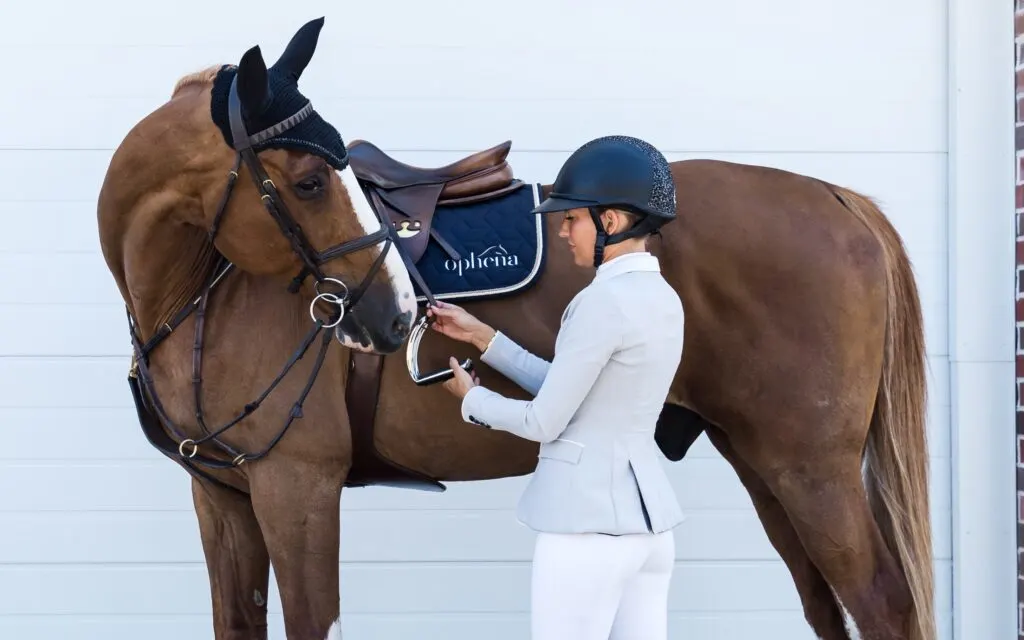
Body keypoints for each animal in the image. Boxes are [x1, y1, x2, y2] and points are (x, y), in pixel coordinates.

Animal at [94, 13, 929, 638]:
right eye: (305, 181)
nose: (395, 315)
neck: (204, 292)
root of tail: (838, 197)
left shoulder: (297, 487)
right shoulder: (225, 501)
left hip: (810, 469)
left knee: (880, 602)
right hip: (764, 462)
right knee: (824, 605)